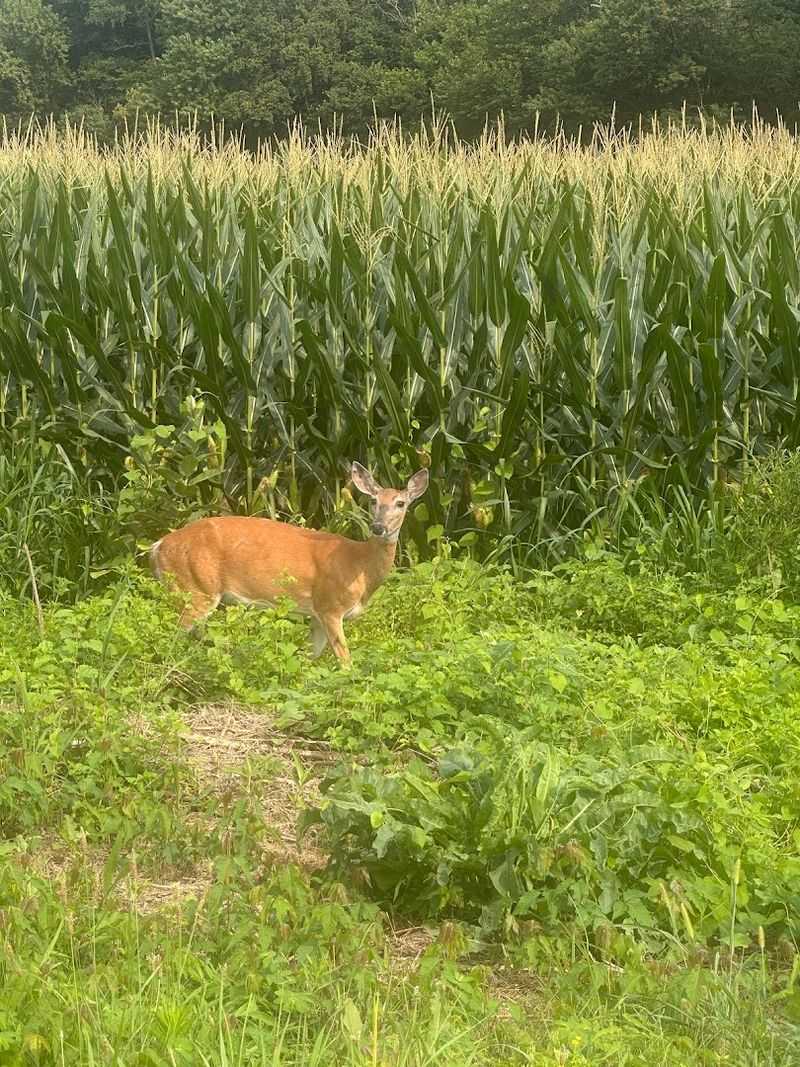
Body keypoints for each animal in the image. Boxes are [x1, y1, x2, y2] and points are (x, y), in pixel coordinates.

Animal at [149, 462, 429, 664]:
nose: (378, 527)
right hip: (195, 589)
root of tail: (158, 546)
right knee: (171, 634)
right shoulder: (330, 605)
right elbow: (345, 661)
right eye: (373, 501)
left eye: (401, 503)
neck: (358, 564)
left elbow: (308, 658)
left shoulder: (316, 615)